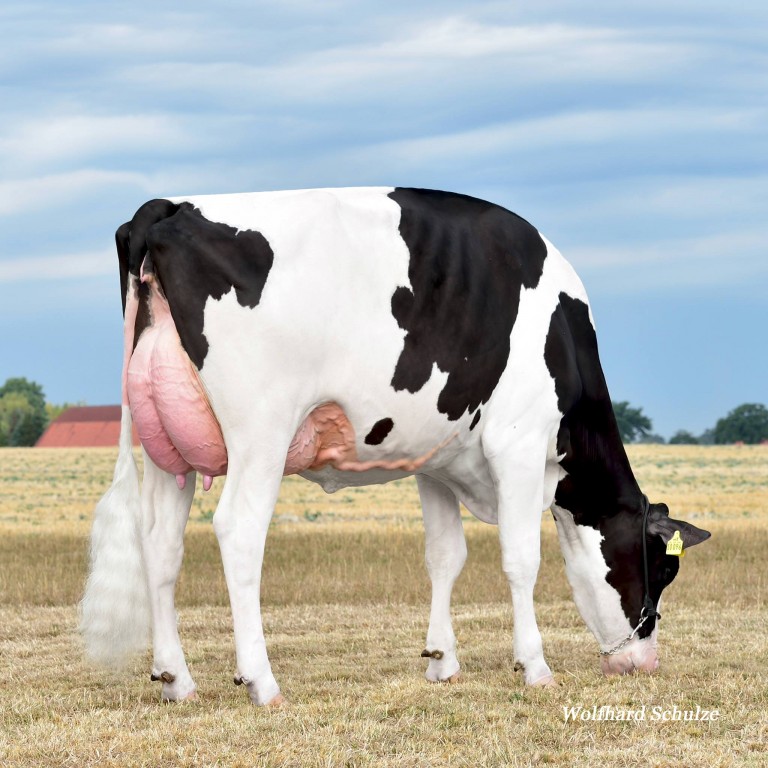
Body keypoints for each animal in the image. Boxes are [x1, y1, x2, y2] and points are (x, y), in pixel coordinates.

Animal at [80, 187, 710, 705]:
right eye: (663, 568)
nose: (643, 663)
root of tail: (169, 207)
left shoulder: (436, 458)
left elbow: (445, 556)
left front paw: (442, 662)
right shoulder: (518, 445)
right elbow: (521, 559)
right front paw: (534, 668)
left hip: (168, 451)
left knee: (160, 545)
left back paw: (175, 679)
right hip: (261, 431)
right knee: (238, 533)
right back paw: (262, 681)